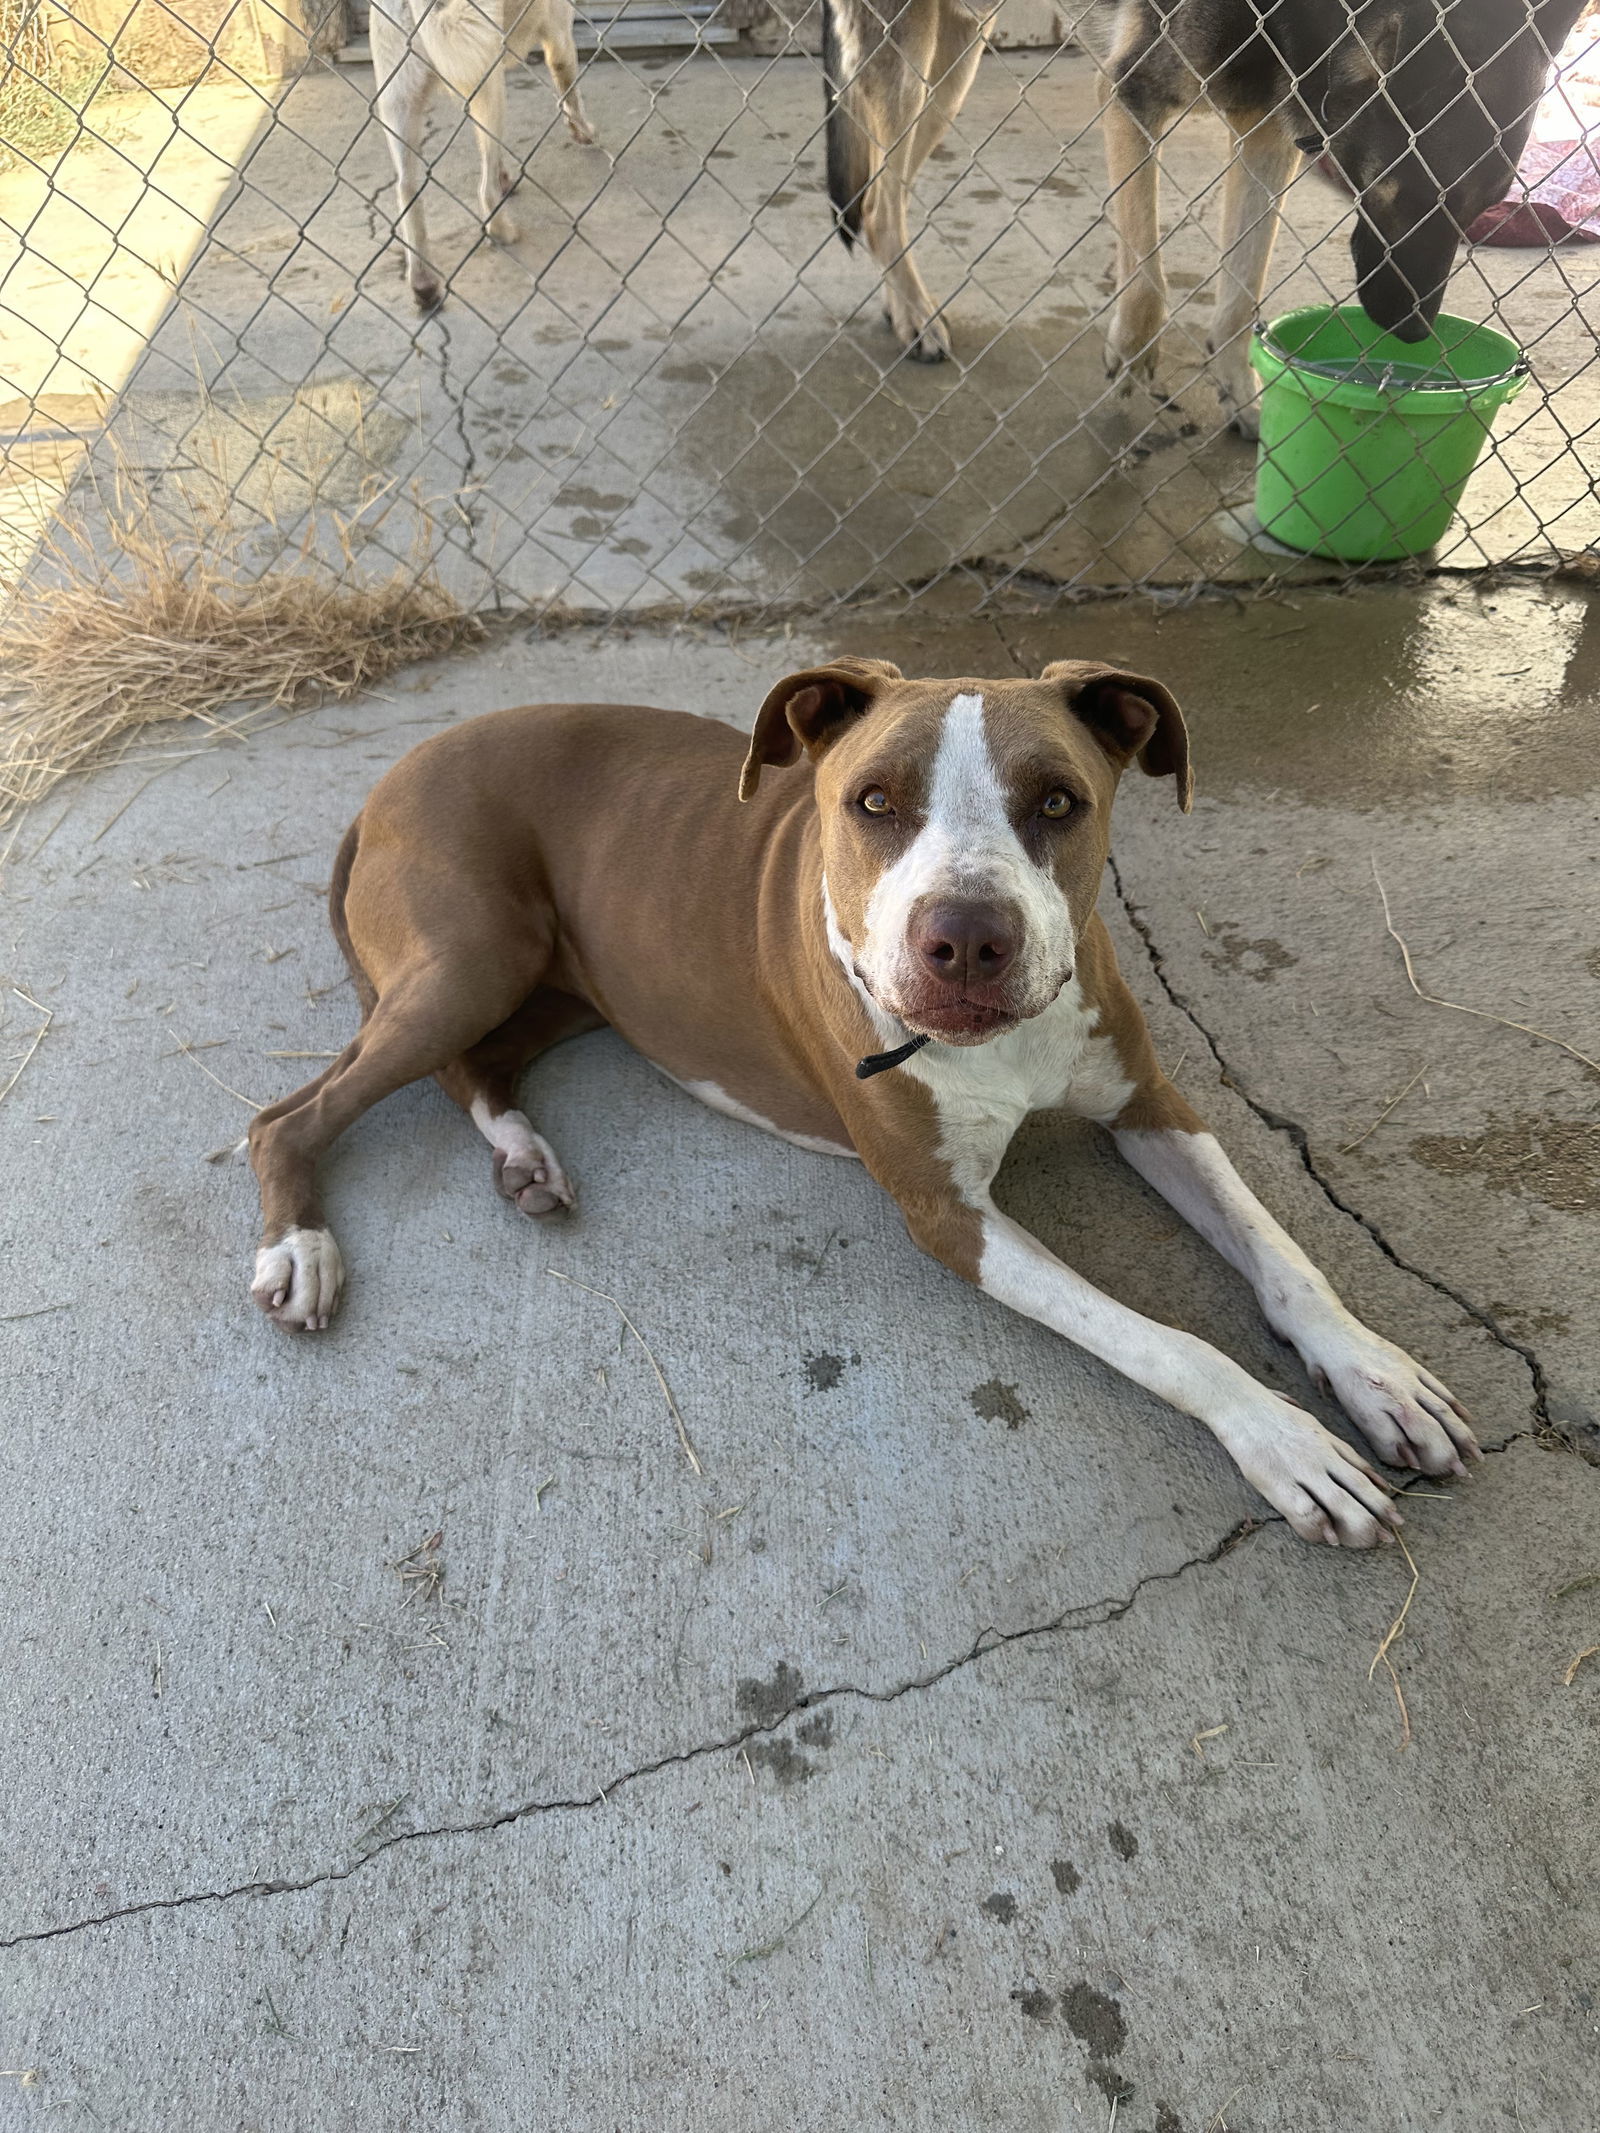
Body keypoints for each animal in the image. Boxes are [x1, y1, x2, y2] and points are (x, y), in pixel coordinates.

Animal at [244, 656, 1484, 1544]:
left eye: (1058, 801)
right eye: (872, 801)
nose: (966, 939)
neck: (1003, 1048)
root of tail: (396, 771)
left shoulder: (1155, 1106)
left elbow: (1282, 1254)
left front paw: (1371, 1371)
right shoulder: (949, 1219)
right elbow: (1168, 1342)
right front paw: (1281, 1438)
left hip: (565, 984)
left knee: (476, 1067)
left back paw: (522, 1156)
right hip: (471, 958)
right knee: (287, 1114)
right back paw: (301, 1249)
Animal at [827, 0, 1595, 428]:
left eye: (1487, 206)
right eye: (1405, 194)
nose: (1411, 331)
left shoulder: (1265, 134)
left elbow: (1240, 289)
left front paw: (1243, 394)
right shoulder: (1131, 100)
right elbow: (1148, 282)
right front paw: (1128, 364)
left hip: (955, 58)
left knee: (886, 196)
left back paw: (903, 304)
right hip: (909, 59)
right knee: (883, 199)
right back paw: (917, 312)